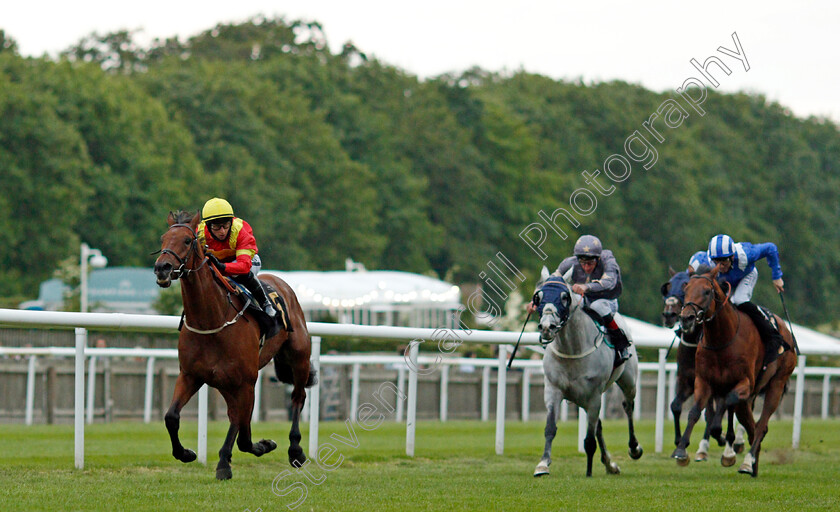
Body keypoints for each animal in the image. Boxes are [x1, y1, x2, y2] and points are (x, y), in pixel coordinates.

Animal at [152, 211, 316, 480]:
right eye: (163, 238)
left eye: (187, 240)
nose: (162, 268)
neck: (212, 320)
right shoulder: (190, 375)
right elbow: (172, 417)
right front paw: (186, 453)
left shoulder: (246, 381)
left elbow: (239, 425)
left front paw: (223, 464)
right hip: (227, 384)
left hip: (298, 358)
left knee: (297, 398)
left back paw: (296, 450)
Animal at [532, 270, 644, 478]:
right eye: (538, 297)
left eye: (565, 297)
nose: (547, 327)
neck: (572, 350)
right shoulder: (553, 389)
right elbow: (550, 428)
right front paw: (543, 464)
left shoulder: (593, 395)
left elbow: (589, 440)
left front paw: (589, 471)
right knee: (599, 424)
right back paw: (609, 464)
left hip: (628, 380)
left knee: (628, 406)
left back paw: (633, 448)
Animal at [672, 268, 796, 476]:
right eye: (685, 289)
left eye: (707, 291)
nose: (686, 318)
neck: (722, 339)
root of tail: (785, 329)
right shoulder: (703, 381)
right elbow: (694, 412)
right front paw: (681, 450)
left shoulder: (742, 383)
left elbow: (725, 407)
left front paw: (726, 449)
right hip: (748, 397)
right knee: (753, 425)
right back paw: (753, 465)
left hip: (776, 384)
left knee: (761, 424)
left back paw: (747, 461)